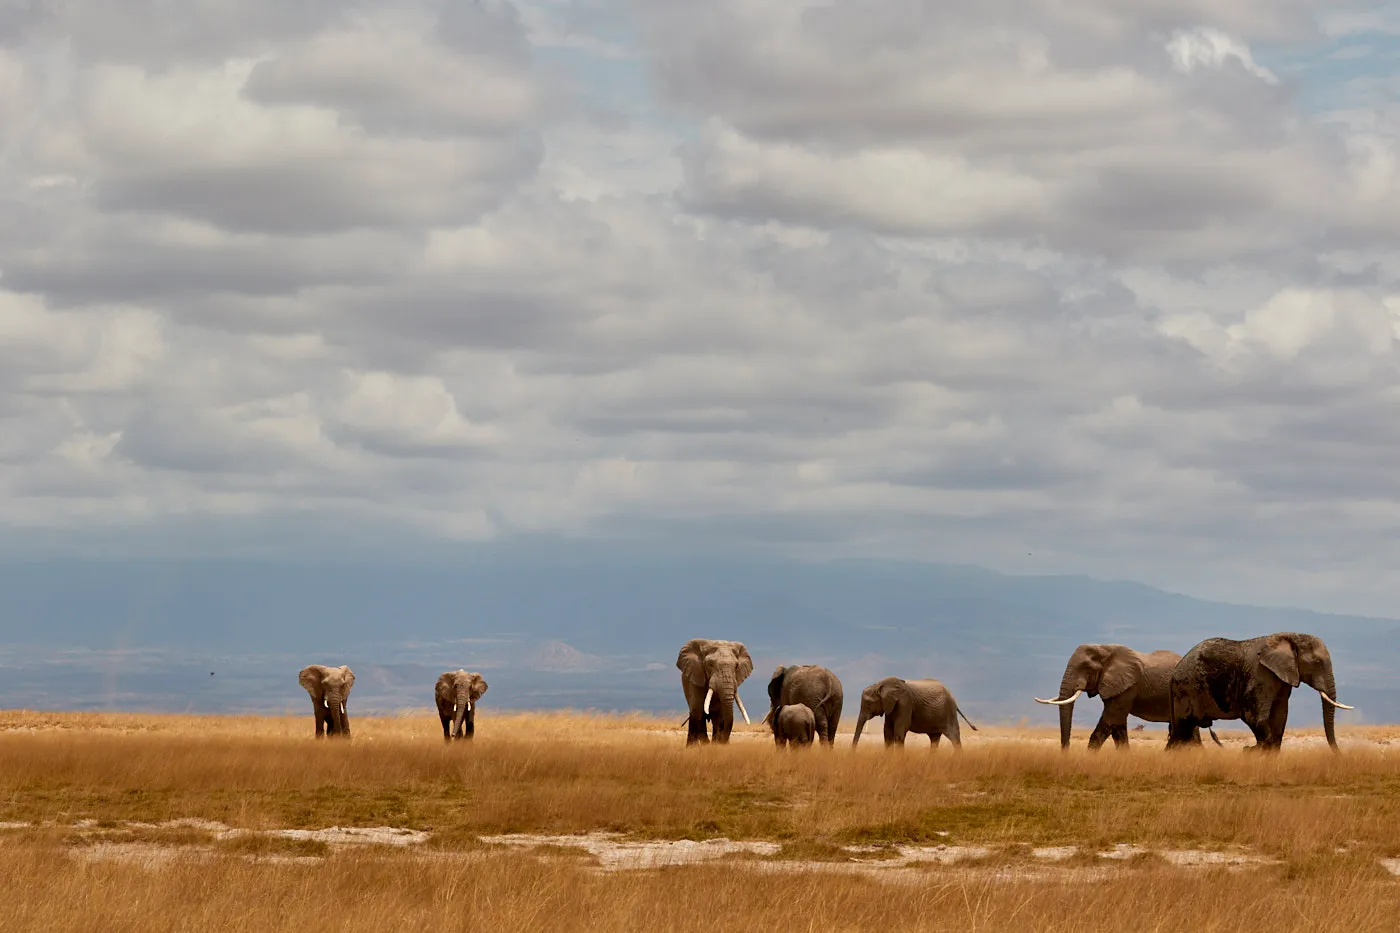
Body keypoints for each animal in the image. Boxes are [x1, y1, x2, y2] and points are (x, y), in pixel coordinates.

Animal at [1034, 644, 1220, 749]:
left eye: (1086, 667)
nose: (1066, 752)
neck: (1105, 649)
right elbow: (1118, 726)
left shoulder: (1127, 686)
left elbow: (1111, 720)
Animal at [1166, 632, 1353, 752]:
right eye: (1317, 663)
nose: (1339, 755)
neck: (1289, 637)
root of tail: (1175, 670)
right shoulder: (1260, 675)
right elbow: (1253, 716)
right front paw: (1251, 749)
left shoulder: (1282, 678)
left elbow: (1280, 716)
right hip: (1187, 688)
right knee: (1183, 729)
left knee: (1180, 731)